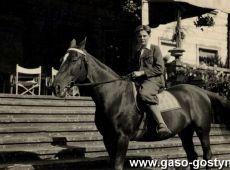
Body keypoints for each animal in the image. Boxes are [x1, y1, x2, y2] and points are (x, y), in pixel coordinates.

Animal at [53, 38, 230, 170]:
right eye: (61, 60)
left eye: (74, 60)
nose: (56, 87)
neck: (114, 95)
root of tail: (201, 92)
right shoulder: (108, 139)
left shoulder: (122, 138)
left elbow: (118, 166)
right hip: (185, 132)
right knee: (192, 156)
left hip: (202, 130)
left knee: (207, 156)